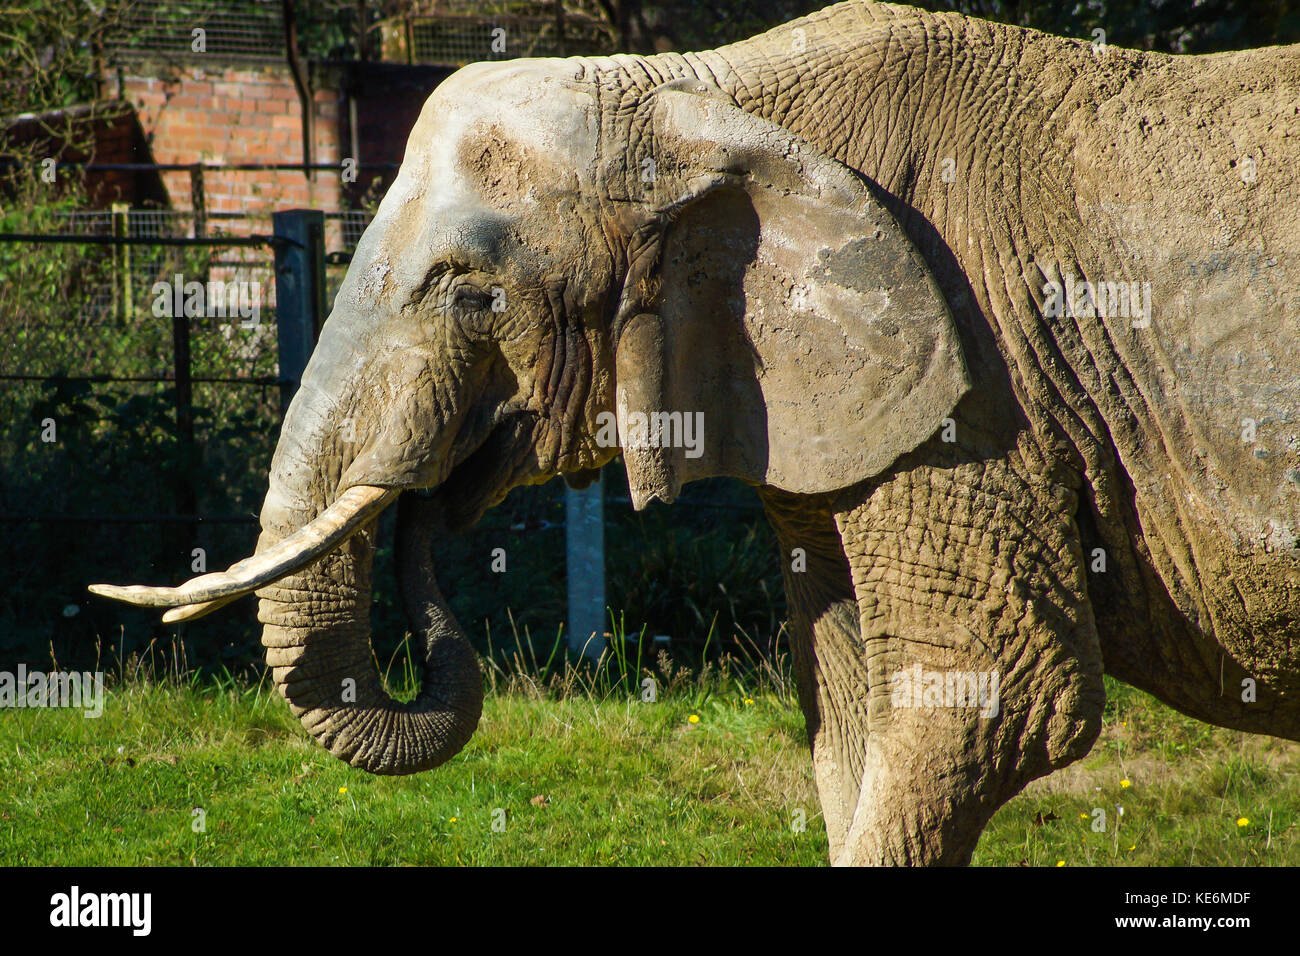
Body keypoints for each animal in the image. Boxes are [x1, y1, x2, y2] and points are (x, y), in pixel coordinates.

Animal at [91, 0, 1300, 868]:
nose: (433, 502)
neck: (703, 95)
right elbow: (844, 708)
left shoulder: (982, 382)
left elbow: (990, 697)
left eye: (474, 297)